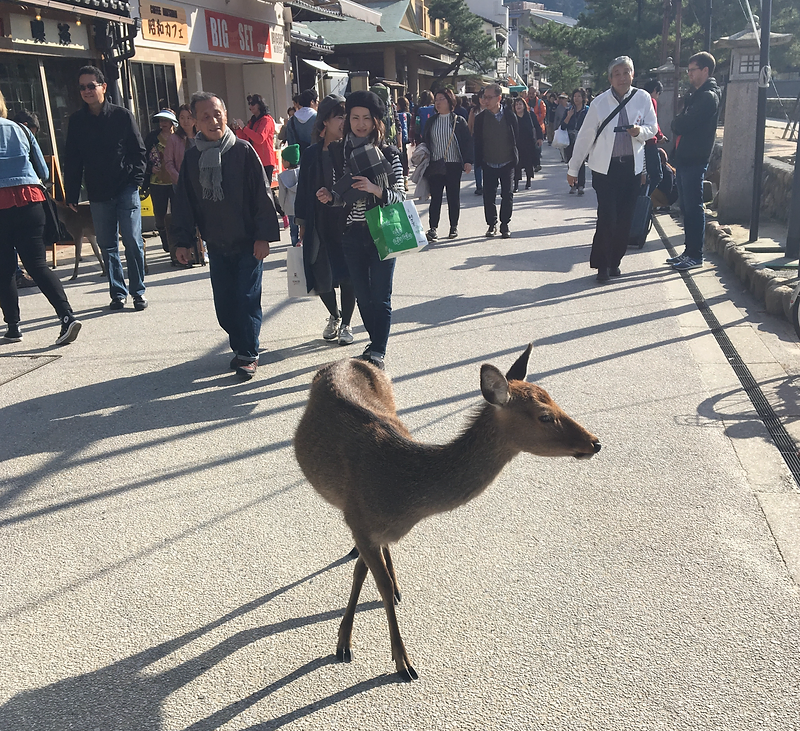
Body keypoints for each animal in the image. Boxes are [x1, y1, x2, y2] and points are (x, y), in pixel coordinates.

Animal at [293, 344, 601, 682]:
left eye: (554, 400)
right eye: (545, 415)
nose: (595, 442)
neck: (402, 493)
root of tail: (349, 358)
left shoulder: (368, 528)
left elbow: (367, 573)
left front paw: (354, 637)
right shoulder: (359, 520)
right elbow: (376, 581)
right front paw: (396, 660)